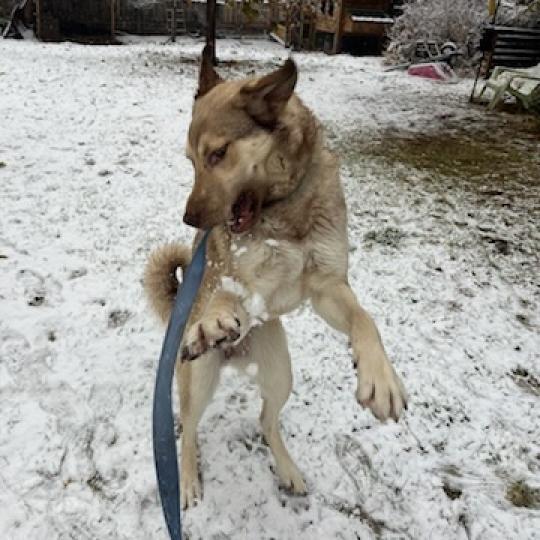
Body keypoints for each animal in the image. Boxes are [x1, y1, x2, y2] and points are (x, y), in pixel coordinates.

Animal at [146, 48, 408, 508]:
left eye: (218, 154)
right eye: (190, 160)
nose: (190, 220)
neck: (284, 207)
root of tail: (234, 356)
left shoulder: (328, 288)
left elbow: (364, 319)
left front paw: (380, 376)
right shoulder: (241, 280)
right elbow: (225, 294)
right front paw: (214, 321)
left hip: (280, 372)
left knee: (267, 420)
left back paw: (288, 469)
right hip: (198, 378)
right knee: (189, 431)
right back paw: (189, 479)